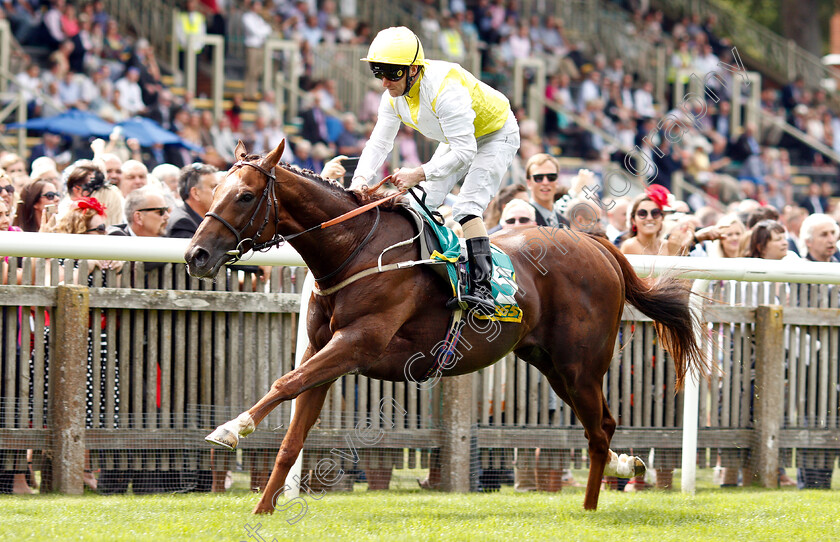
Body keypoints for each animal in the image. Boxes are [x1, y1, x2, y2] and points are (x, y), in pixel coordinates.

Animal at [187, 140, 704, 516]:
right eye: (213, 193)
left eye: (245, 196)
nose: (196, 255)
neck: (353, 248)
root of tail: (597, 245)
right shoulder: (324, 352)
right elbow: (293, 431)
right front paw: (263, 509)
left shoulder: (357, 343)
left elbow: (283, 382)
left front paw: (230, 429)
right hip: (553, 365)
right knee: (603, 425)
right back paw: (622, 468)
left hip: (581, 365)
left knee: (597, 433)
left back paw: (591, 506)